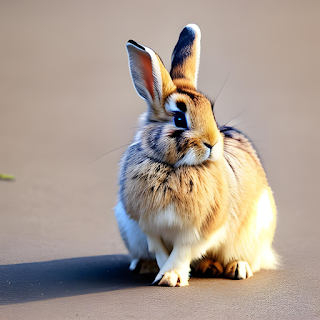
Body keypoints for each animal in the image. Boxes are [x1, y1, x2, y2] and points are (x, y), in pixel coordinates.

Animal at [114, 23, 278, 286]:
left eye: (211, 112)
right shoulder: (149, 228)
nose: (212, 143)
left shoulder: (200, 229)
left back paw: (236, 268)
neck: (173, 167)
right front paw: (162, 275)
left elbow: (183, 250)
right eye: (179, 119)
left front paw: (170, 277)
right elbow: (161, 251)